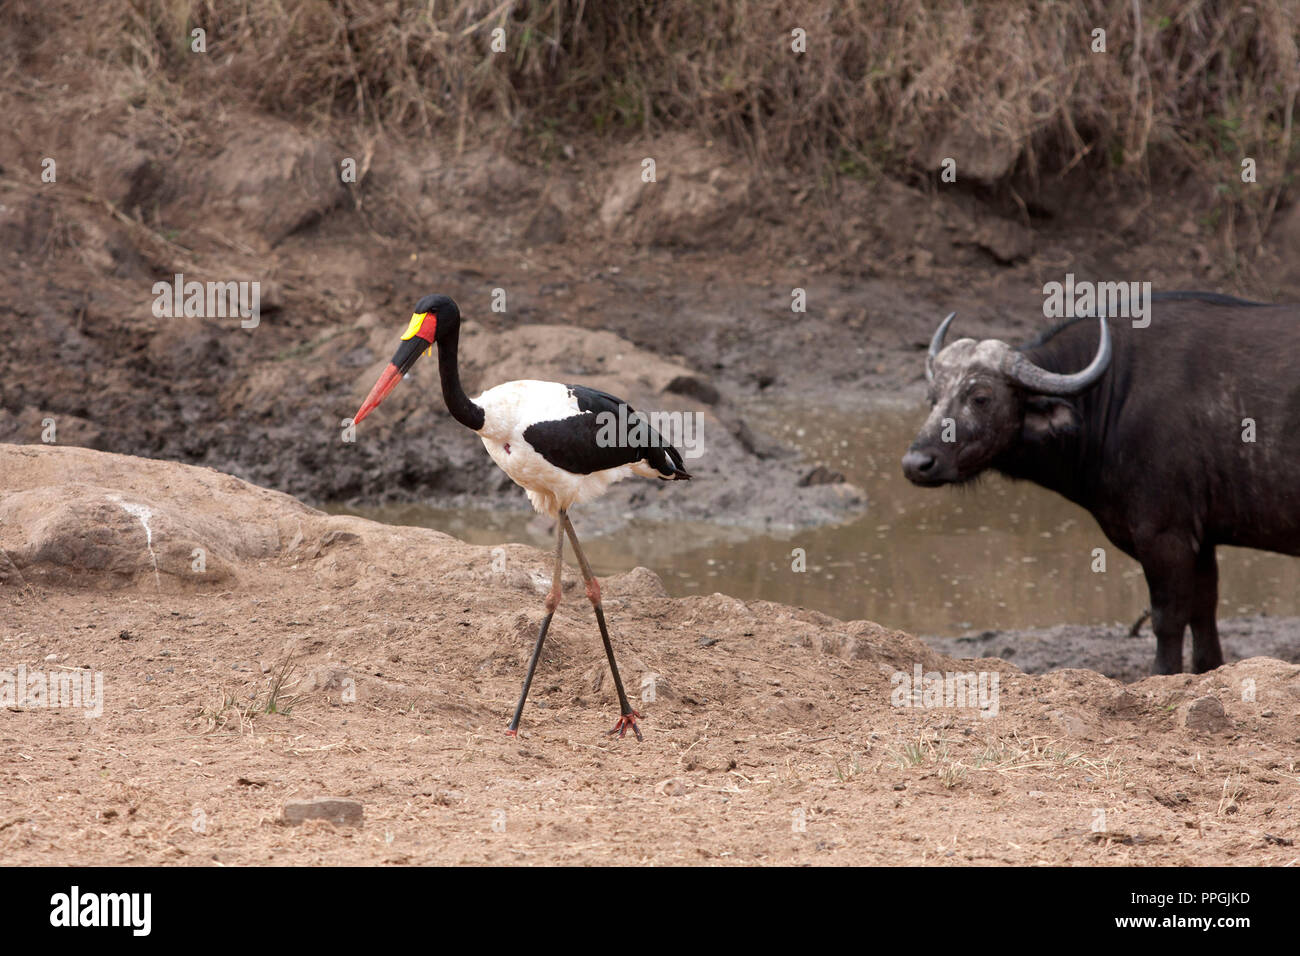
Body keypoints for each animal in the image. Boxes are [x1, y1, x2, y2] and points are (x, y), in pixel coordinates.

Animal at [904, 295, 1300, 676]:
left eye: (981, 398)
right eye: (933, 397)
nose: (916, 464)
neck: (1115, 394)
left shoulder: (1163, 534)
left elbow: (1168, 618)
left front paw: (1161, 674)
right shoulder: (1200, 539)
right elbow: (1203, 611)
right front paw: (1208, 669)